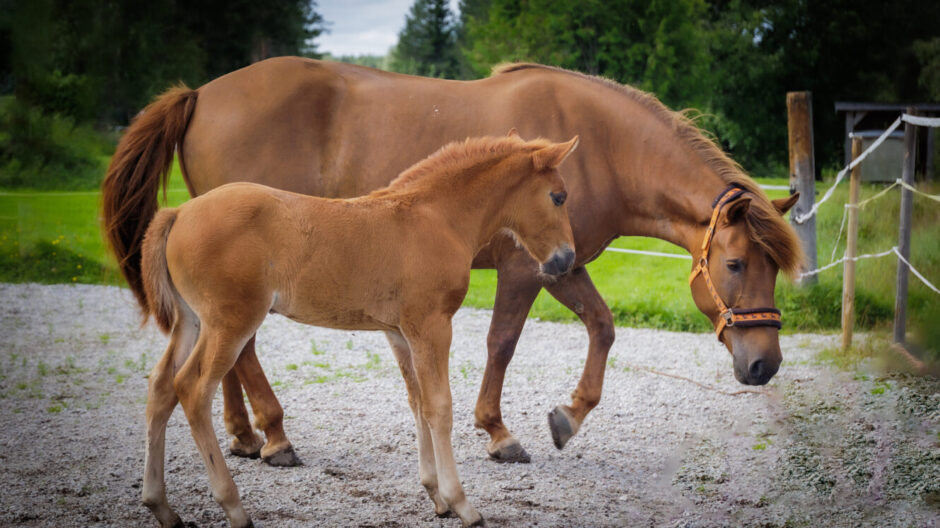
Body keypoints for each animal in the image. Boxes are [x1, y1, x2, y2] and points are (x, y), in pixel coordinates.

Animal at [106, 57, 804, 466]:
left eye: (774, 269)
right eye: (736, 265)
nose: (764, 364)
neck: (603, 147)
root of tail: (200, 92)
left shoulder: (564, 263)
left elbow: (603, 328)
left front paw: (568, 417)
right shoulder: (528, 269)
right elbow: (502, 342)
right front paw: (498, 431)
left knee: (228, 352)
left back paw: (246, 435)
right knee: (242, 348)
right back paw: (274, 436)